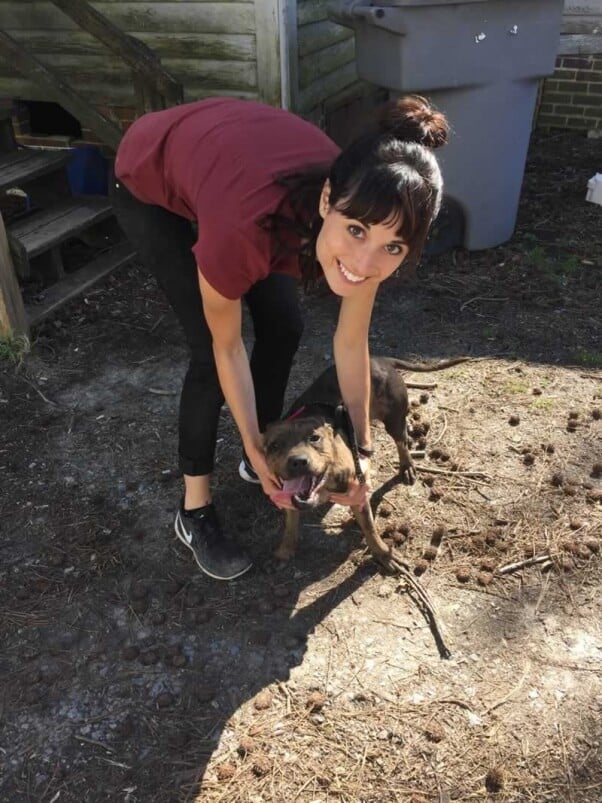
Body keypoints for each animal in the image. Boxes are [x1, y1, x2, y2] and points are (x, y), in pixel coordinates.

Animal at [262, 354, 464, 568]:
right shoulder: (287, 496)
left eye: (314, 438)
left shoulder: (358, 493)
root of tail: (380, 359)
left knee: (401, 442)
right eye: (275, 445)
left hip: (394, 419)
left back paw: (407, 465)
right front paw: (285, 549)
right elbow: (290, 524)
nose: (298, 461)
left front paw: (384, 554)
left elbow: (370, 529)